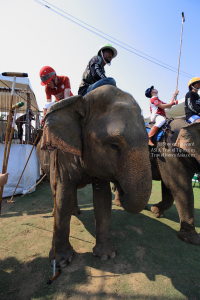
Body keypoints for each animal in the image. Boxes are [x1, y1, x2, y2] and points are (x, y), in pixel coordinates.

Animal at [36, 85, 152, 266]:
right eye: (114, 146)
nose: (120, 187)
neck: (84, 101)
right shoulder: (61, 156)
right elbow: (63, 196)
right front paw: (61, 261)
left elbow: (102, 199)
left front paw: (106, 255)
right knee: (56, 192)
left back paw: (76, 212)